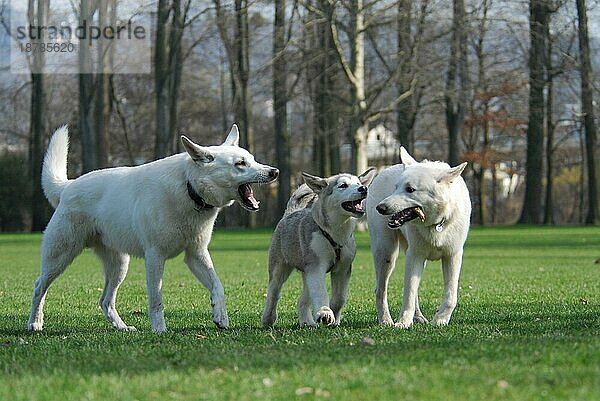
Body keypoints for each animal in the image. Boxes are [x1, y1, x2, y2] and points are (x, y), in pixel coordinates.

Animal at [28, 124, 278, 332]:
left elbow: (218, 286)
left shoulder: (196, 255)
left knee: (105, 300)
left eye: (252, 159)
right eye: (240, 164)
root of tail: (67, 187)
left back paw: (122, 327)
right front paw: (159, 329)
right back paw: (35, 323)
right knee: (39, 286)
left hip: (119, 265)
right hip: (60, 256)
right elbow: (156, 299)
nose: (274, 171)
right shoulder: (155, 257)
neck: (189, 188)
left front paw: (220, 317)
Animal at [262, 167, 376, 326]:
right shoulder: (317, 266)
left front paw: (334, 317)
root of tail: (289, 213)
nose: (364, 188)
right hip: (279, 267)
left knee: (302, 299)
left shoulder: (343, 268)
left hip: (307, 272)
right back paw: (268, 318)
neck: (335, 233)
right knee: (273, 292)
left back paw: (307, 322)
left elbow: (340, 298)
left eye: (359, 183)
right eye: (343, 185)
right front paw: (324, 312)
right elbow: (321, 292)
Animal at [364, 148, 472, 328]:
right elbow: (407, 294)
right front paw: (403, 323)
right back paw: (386, 320)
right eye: (396, 188)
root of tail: (383, 171)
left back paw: (419, 317)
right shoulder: (415, 256)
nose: (380, 208)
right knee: (380, 290)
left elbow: (451, 295)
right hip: (386, 254)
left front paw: (440, 320)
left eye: (410, 189)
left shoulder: (453, 256)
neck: (436, 224)